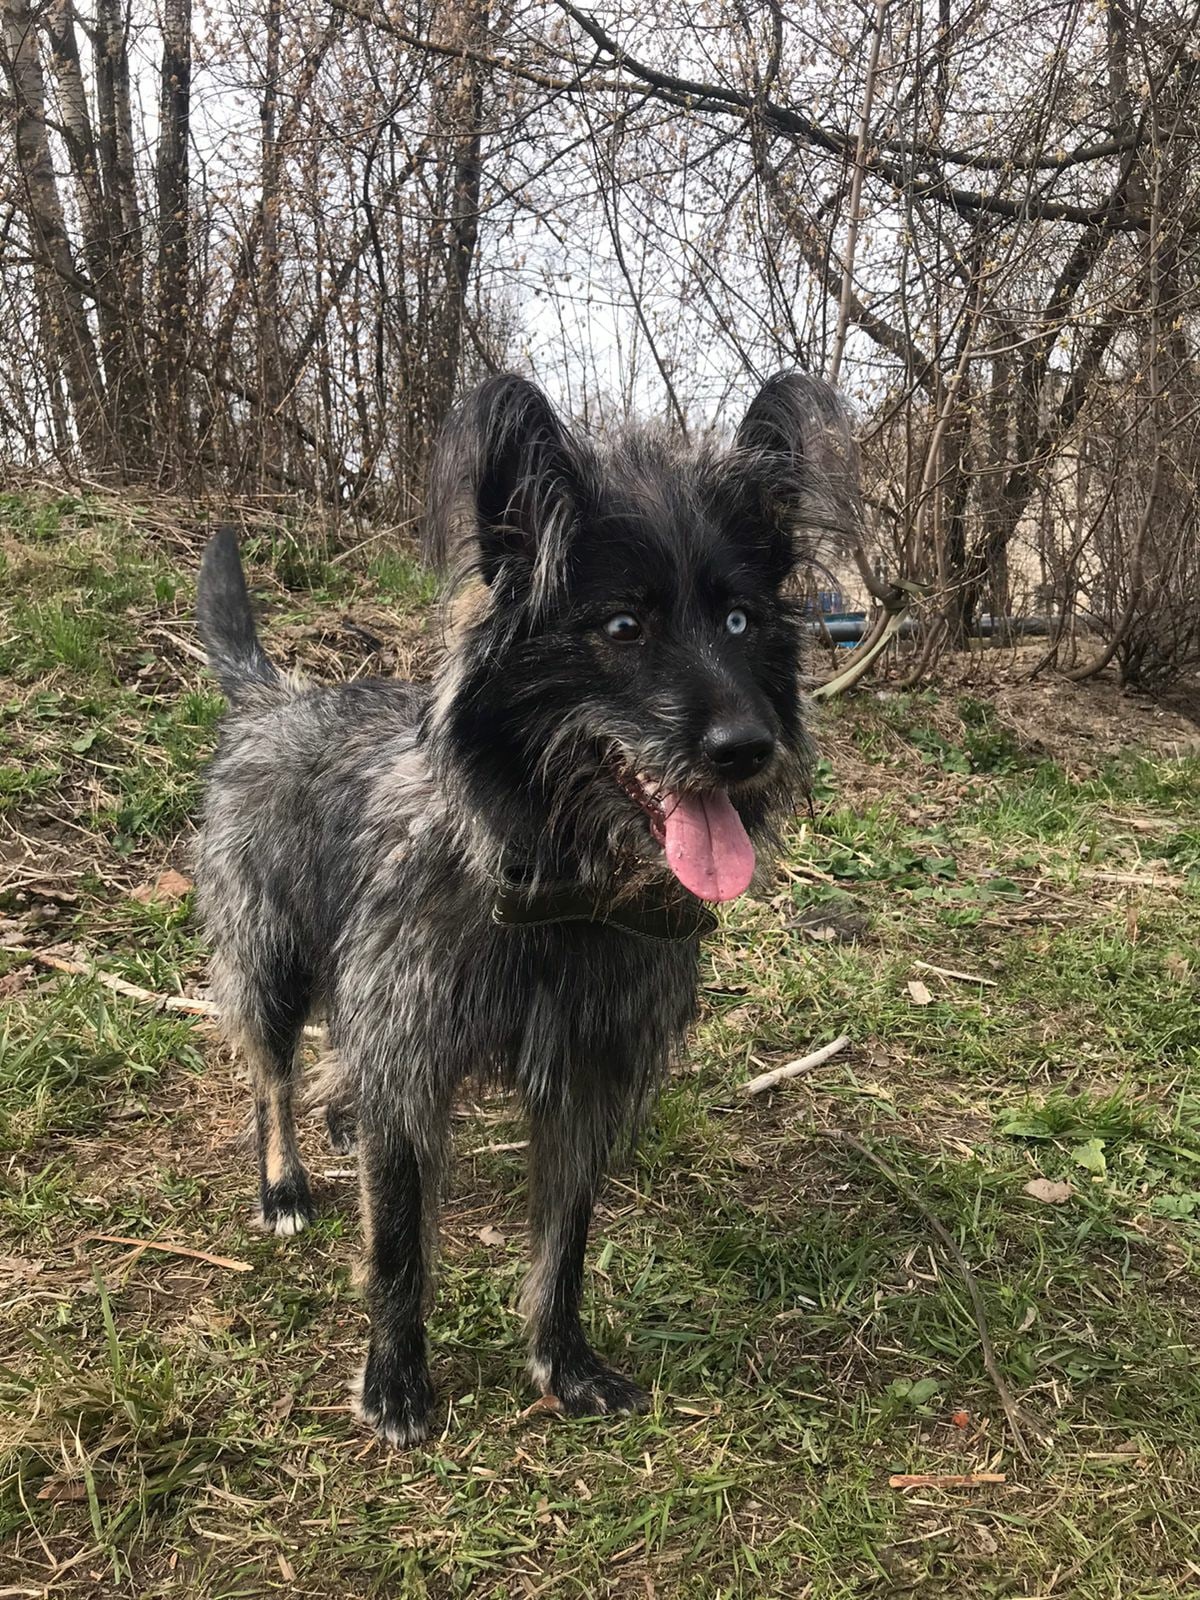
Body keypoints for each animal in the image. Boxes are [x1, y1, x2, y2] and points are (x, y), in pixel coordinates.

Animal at [197, 368, 851, 1446]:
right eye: (623, 628)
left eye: (742, 621)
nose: (748, 748)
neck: (558, 889)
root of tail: (274, 696)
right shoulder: (412, 1053)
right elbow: (398, 1246)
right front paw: (396, 1379)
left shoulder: (585, 1082)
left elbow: (565, 1245)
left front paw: (563, 1363)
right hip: (270, 960)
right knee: (271, 1077)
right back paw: (284, 1177)